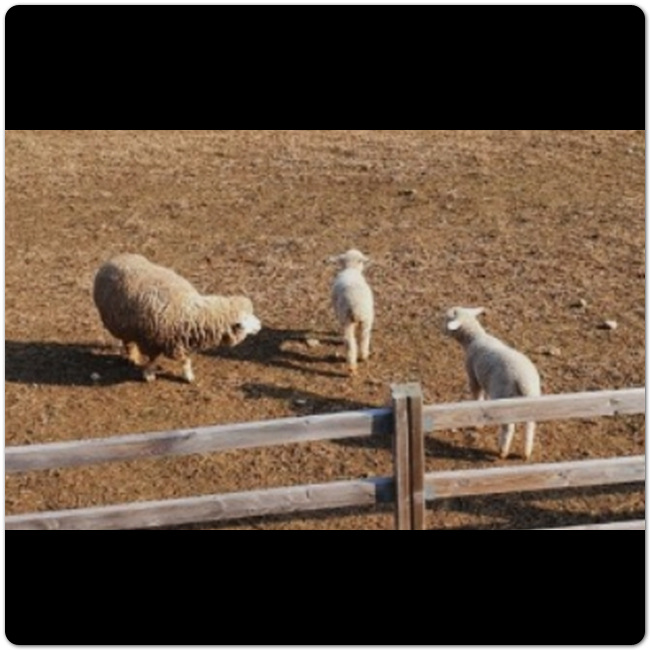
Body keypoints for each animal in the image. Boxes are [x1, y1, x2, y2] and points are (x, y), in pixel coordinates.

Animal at [93, 253, 261, 383]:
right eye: (246, 319)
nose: (260, 325)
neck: (190, 313)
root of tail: (116, 258)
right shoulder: (151, 341)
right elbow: (153, 359)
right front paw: (149, 374)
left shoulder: (182, 341)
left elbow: (185, 360)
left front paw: (188, 375)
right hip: (120, 323)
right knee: (128, 341)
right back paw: (132, 357)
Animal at [443, 306, 541, 460]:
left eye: (447, 318)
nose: (442, 330)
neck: (475, 338)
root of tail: (524, 381)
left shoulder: (473, 376)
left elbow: (477, 396)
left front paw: (478, 425)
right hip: (532, 398)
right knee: (530, 425)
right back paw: (526, 452)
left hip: (504, 394)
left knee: (508, 427)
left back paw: (502, 451)